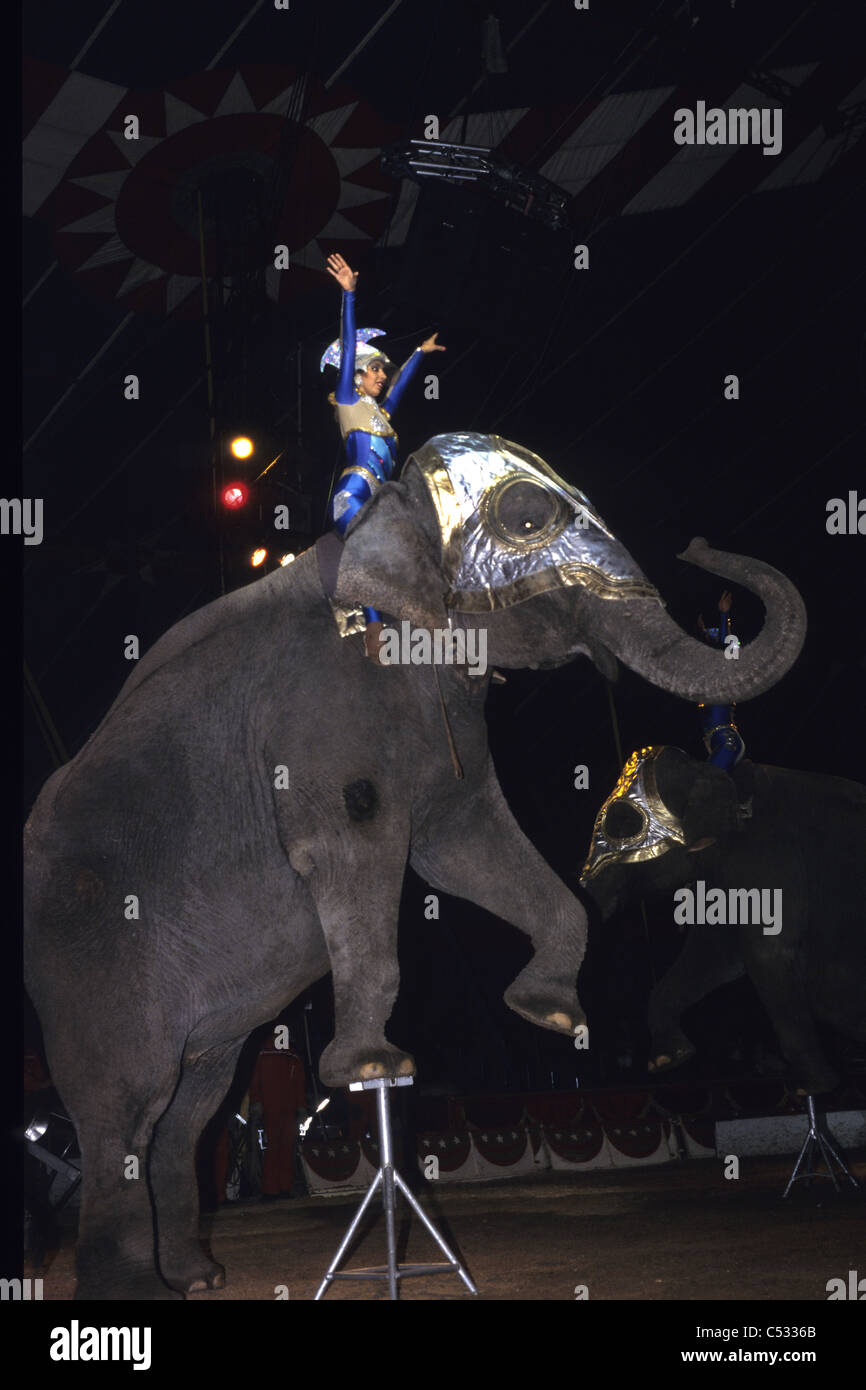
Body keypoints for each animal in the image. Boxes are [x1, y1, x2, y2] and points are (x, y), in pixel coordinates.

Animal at [23, 428, 811, 1295]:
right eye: (528, 518)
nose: (697, 547)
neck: (384, 523)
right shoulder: (323, 723)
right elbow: (358, 842)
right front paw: (370, 1064)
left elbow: (463, 845)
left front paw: (550, 1013)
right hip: (88, 945)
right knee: (126, 1103)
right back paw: (131, 1290)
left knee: (193, 1102)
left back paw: (198, 1276)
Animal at [583, 750, 866, 1095]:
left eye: (624, 824)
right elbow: (713, 957)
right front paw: (668, 1060)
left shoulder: (768, 857)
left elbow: (766, 953)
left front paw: (813, 1087)